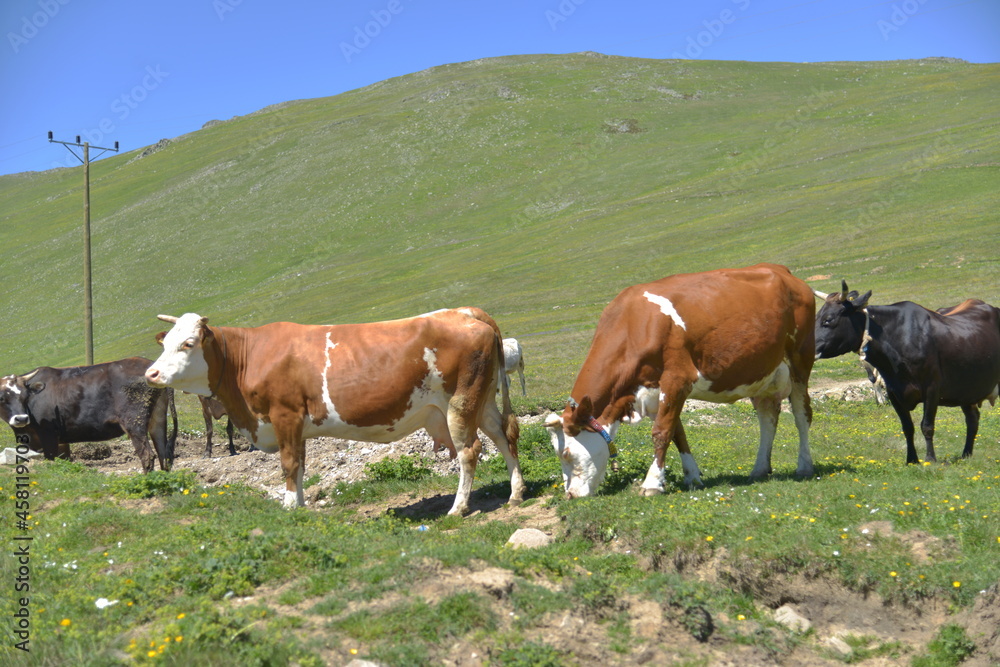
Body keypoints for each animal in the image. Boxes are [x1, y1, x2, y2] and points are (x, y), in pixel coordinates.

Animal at [0, 358, 177, 472]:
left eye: (25, 396)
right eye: (1, 398)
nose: (21, 418)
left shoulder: (48, 436)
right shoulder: (59, 441)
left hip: (134, 422)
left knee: (147, 455)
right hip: (158, 418)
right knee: (163, 453)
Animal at [147, 310, 528, 516]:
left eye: (188, 344)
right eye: (165, 343)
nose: (151, 374)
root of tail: (466, 312)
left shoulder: (284, 415)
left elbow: (288, 465)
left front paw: (288, 507)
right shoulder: (297, 426)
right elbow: (300, 466)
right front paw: (300, 506)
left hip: (460, 402)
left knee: (470, 450)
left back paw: (458, 508)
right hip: (483, 400)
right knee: (504, 434)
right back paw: (515, 492)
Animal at [548, 264, 820, 498]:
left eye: (567, 453)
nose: (570, 496)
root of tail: (781, 270)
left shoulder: (677, 379)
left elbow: (661, 431)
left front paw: (652, 483)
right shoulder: (656, 391)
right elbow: (678, 433)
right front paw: (692, 476)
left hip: (800, 360)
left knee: (802, 413)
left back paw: (804, 465)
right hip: (760, 373)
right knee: (767, 418)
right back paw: (760, 468)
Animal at [816, 282, 996, 464]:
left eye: (828, 320)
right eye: (816, 317)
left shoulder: (932, 387)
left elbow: (927, 425)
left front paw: (930, 458)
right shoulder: (893, 391)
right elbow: (907, 427)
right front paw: (912, 460)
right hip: (968, 390)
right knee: (972, 419)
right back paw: (966, 454)